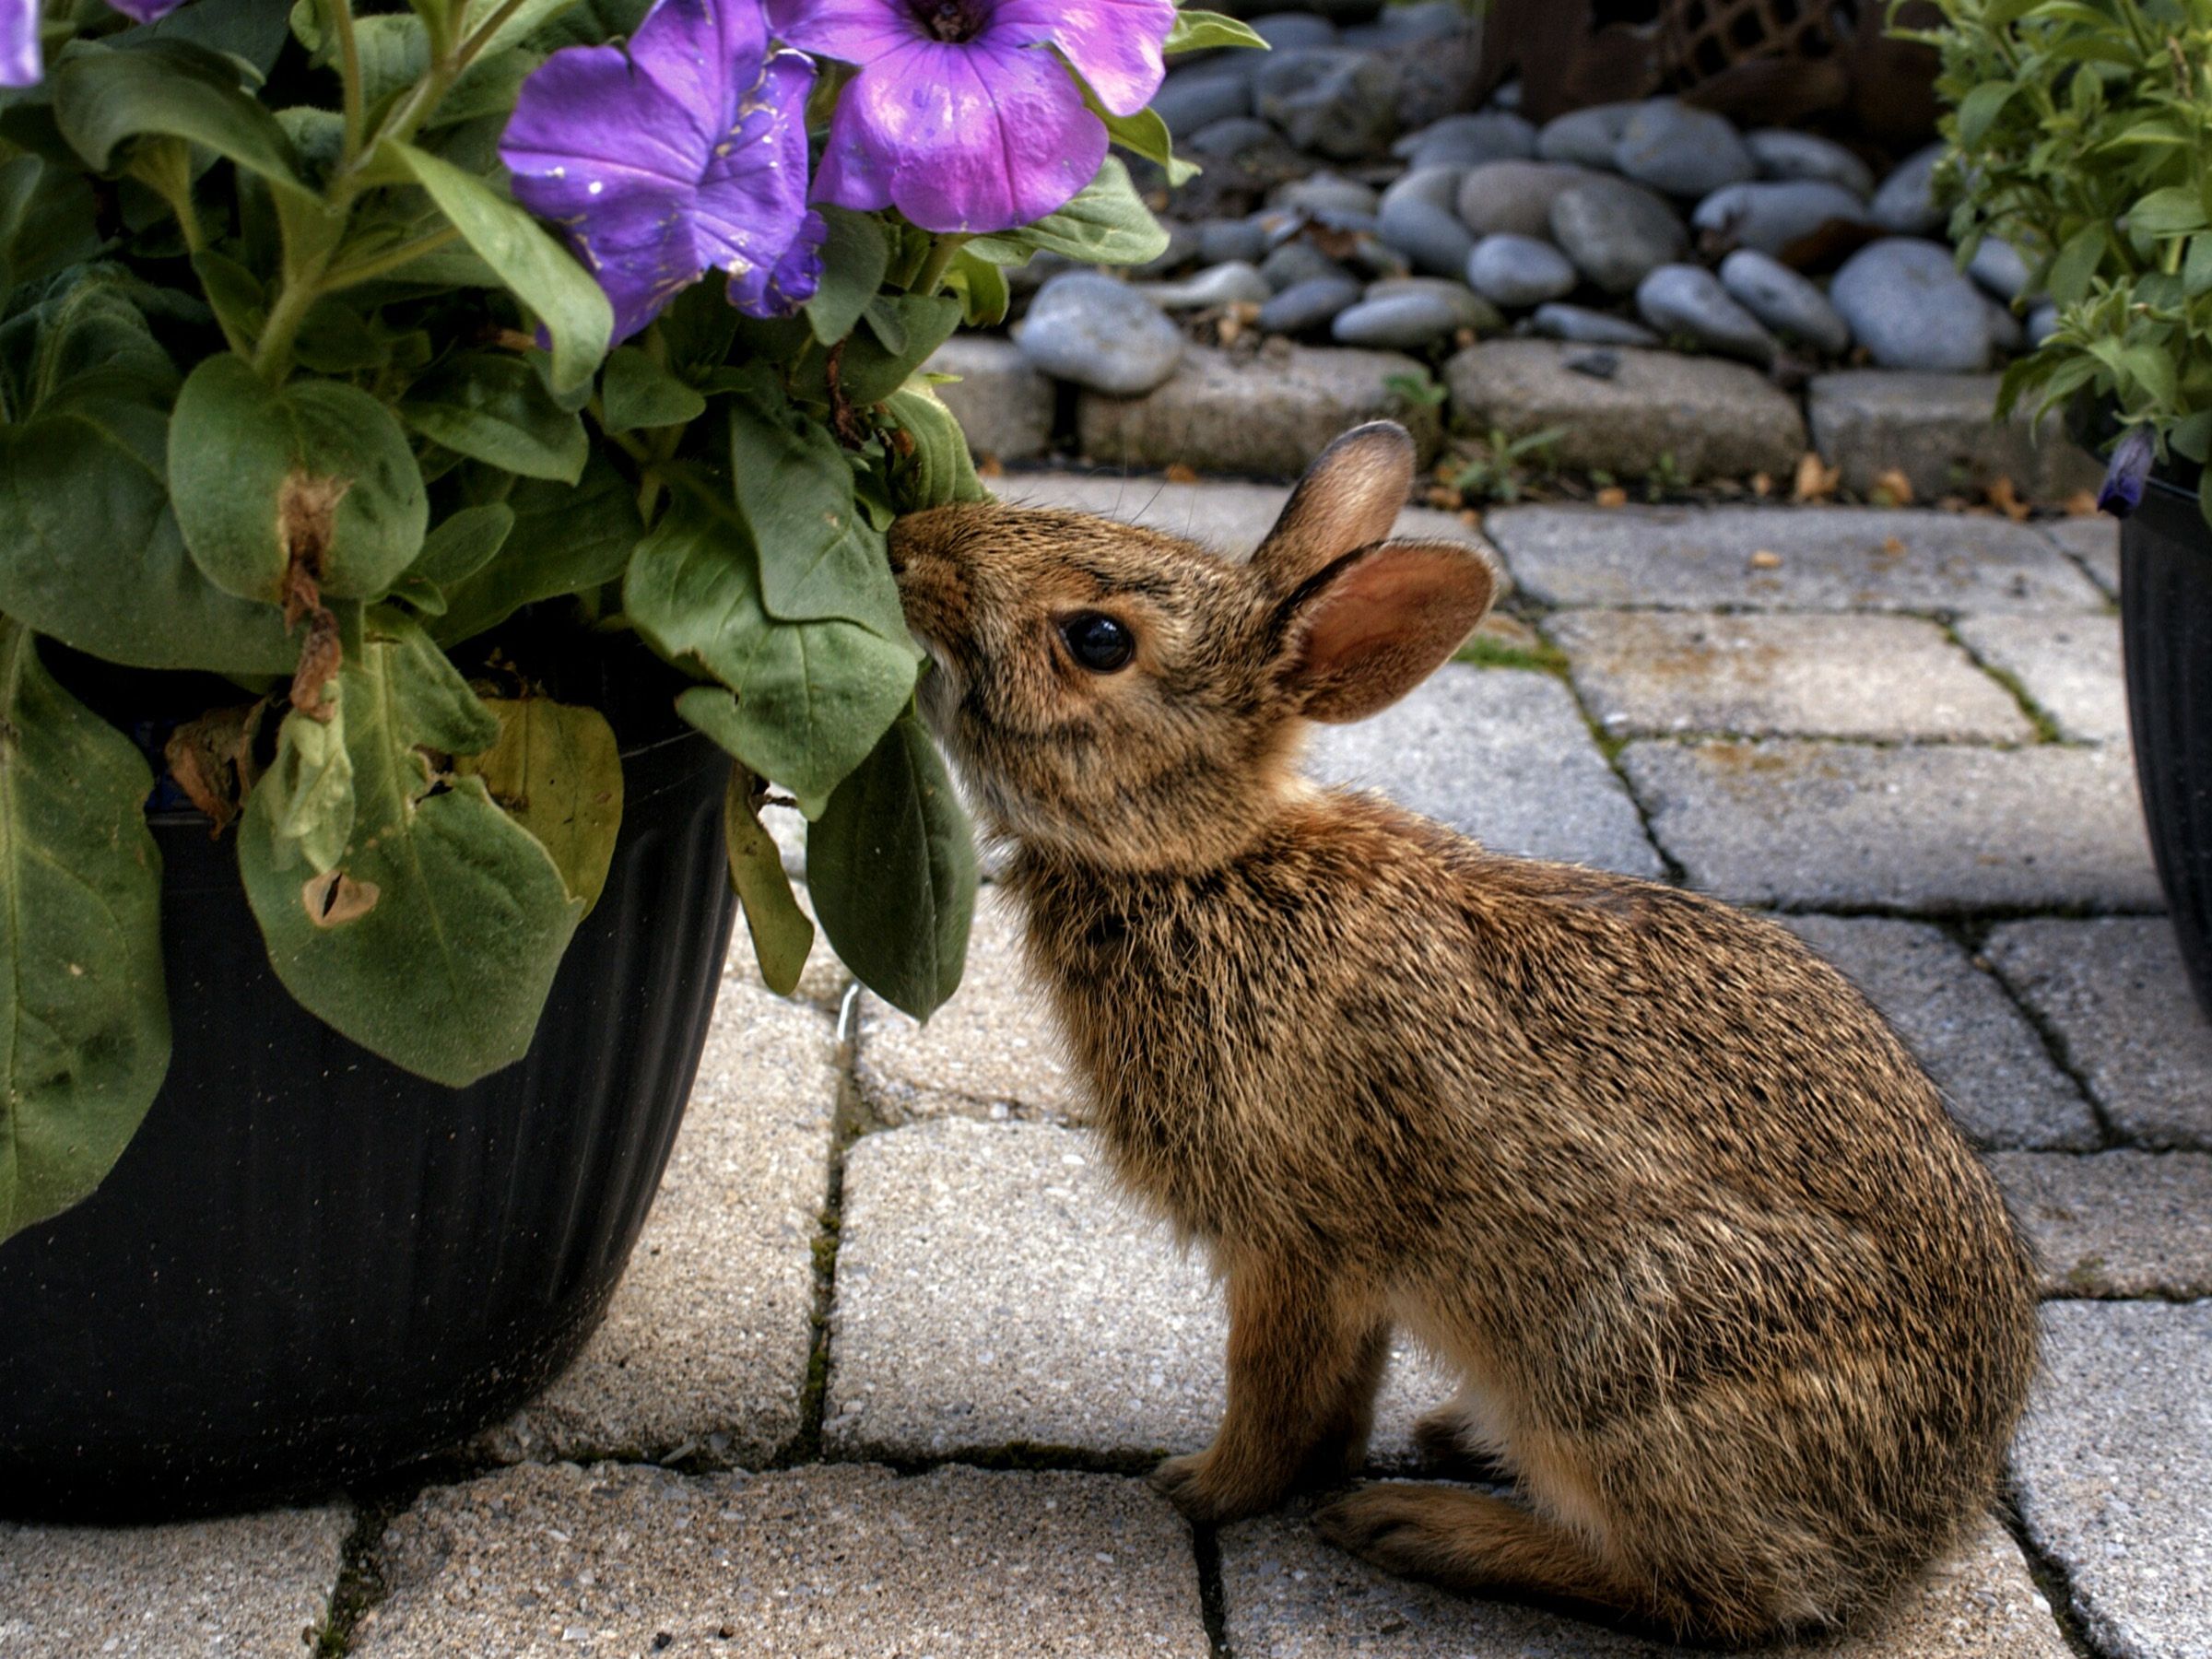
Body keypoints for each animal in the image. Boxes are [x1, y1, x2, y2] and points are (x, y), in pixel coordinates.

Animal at [886, 422, 2040, 1648]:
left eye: (1096, 639)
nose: (909, 545)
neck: (1204, 864)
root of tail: (1923, 1527)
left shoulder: (1295, 1243)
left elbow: (1274, 1389)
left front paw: (1205, 1490)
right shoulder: (1349, 1273)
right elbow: (1339, 1390)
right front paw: (1305, 1472)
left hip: (1632, 1361)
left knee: (1713, 1593)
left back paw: (1428, 1527)